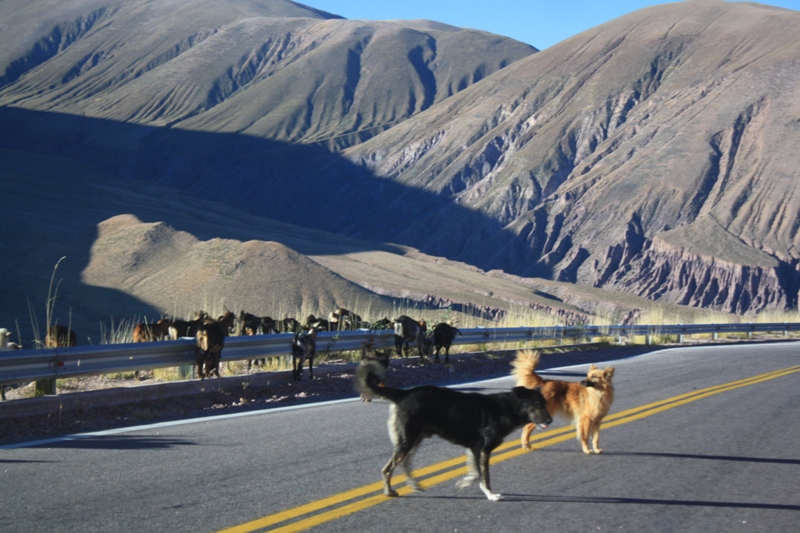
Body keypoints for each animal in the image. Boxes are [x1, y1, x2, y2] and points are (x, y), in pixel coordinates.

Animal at [354, 360, 552, 500]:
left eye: (544, 403)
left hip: (415, 440)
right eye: (537, 405)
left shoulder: (474, 449)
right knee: (387, 469)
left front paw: (466, 483)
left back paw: (414, 485)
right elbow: (485, 476)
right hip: (407, 440)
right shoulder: (484, 450)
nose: (550, 420)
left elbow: (476, 473)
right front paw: (491, 495)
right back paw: (389, 492)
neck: (509, 407)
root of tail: (403, 393)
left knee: (404, 464)